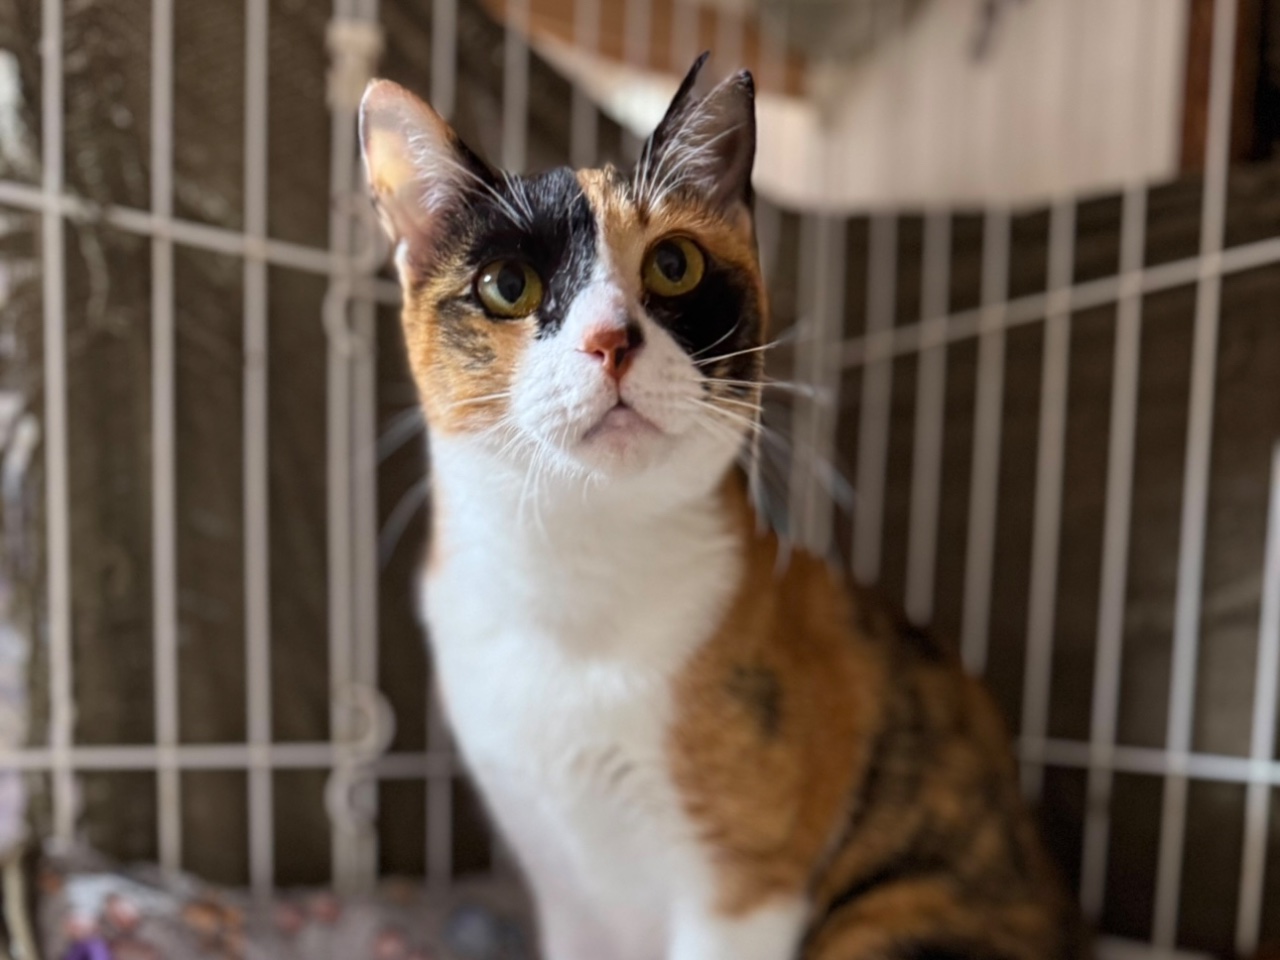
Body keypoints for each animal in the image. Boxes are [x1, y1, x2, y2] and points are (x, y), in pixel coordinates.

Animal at [359, 53, 1084, 960]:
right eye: (507, 285)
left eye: (674, 265)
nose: (610, 340)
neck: (576, 587)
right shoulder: (561, 877)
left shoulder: (744, 884)